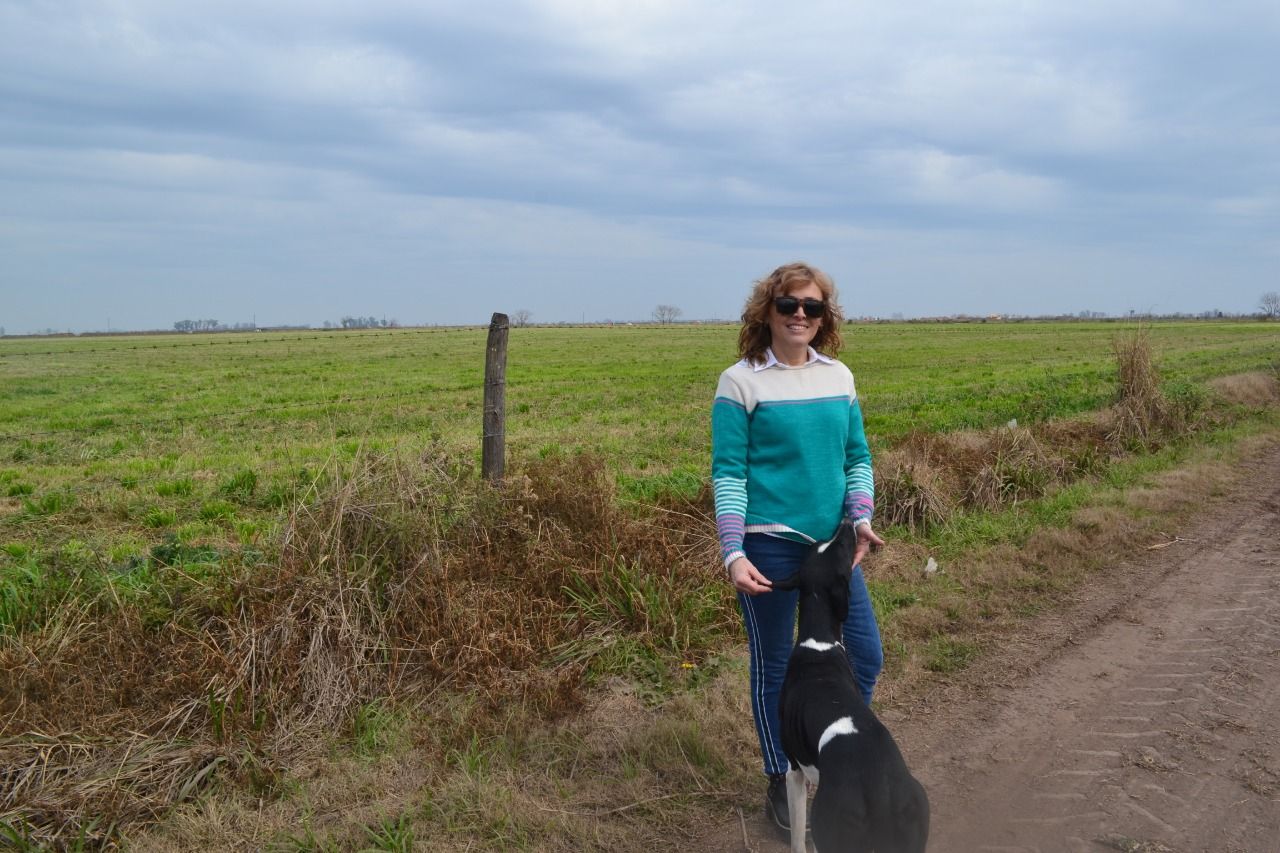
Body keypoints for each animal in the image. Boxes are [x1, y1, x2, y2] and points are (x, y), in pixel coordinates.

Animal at [768, 517, 931, 850]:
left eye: (839, 544)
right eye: (830, 543)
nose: (846, 521)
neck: (819, 641)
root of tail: (879, 791)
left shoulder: (794, 772)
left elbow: (797, 840)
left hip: (831, 828)